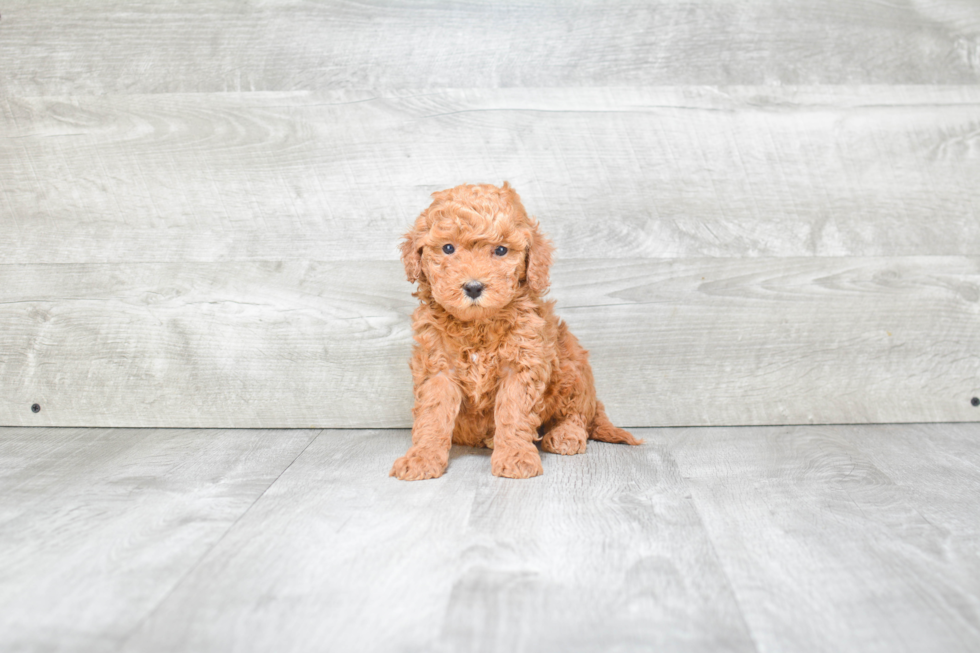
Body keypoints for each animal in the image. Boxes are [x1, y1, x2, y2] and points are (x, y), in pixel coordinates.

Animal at [390, 180, 644, 478]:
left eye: (501, 251)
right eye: (448, 248)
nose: (474, 287)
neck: (478, 325)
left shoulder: (522, 364)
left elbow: (513, 412)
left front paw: (515, 456)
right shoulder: (438, 367)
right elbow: (433, 413)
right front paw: (422, 457)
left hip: (572, 367)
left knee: (577, 413)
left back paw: (565, 435)